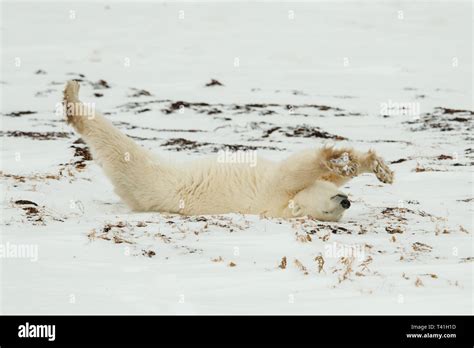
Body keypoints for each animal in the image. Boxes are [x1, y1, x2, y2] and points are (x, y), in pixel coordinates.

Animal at [65, 80, 394, 222]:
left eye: (330, 214)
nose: (346, 202)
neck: (282, 206)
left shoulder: (273, 195)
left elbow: (297, 169)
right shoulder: (276, 190)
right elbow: (303, 170)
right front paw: (370, 166)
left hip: (154, 181)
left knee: (123, 156)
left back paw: (72, 102)